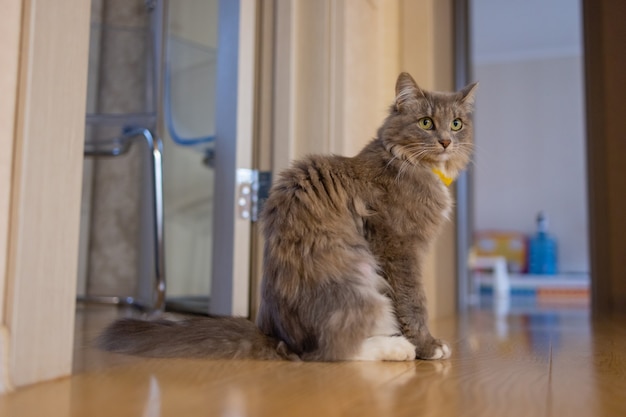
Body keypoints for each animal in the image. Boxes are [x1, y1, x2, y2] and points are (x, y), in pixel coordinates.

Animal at [100, 73, 476, 360]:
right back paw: (397, 349)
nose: (446, 141)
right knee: (333, 351)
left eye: (456, 124)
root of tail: (277, 335)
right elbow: (414, 304)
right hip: (360, 281)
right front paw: (428, 346)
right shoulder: (399, 248)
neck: (410, 164)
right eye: (426, 123)